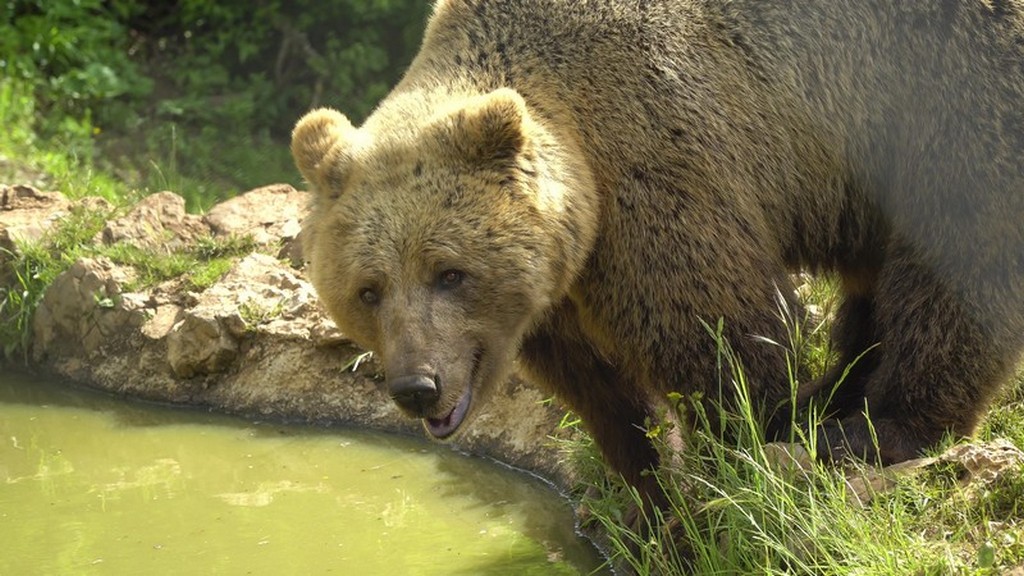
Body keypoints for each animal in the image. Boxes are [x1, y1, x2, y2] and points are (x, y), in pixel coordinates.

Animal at [290, 0, 1024, 502]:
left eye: (449, 273)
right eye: (368, 290)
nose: (418, 387)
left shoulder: (656, 156)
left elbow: (719, 328)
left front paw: (741, 447)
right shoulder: (555, 290)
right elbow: (596, 384)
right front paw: (643, 484)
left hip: (947, 85)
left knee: (961, 251)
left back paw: (874, 426)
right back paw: (835, 393)